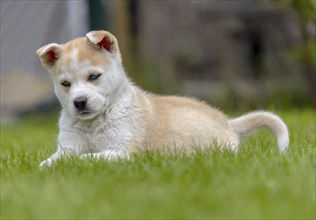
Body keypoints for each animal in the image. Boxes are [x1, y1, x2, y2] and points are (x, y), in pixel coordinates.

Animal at [36, 30, 288, 166]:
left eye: (94, 76)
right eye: (65, 84)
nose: (79, 103)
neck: (94, 123)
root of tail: (227, 122)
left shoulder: (123, 151)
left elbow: (87, 158)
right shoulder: (67, 147)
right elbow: (53, 161)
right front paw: (46, 167)